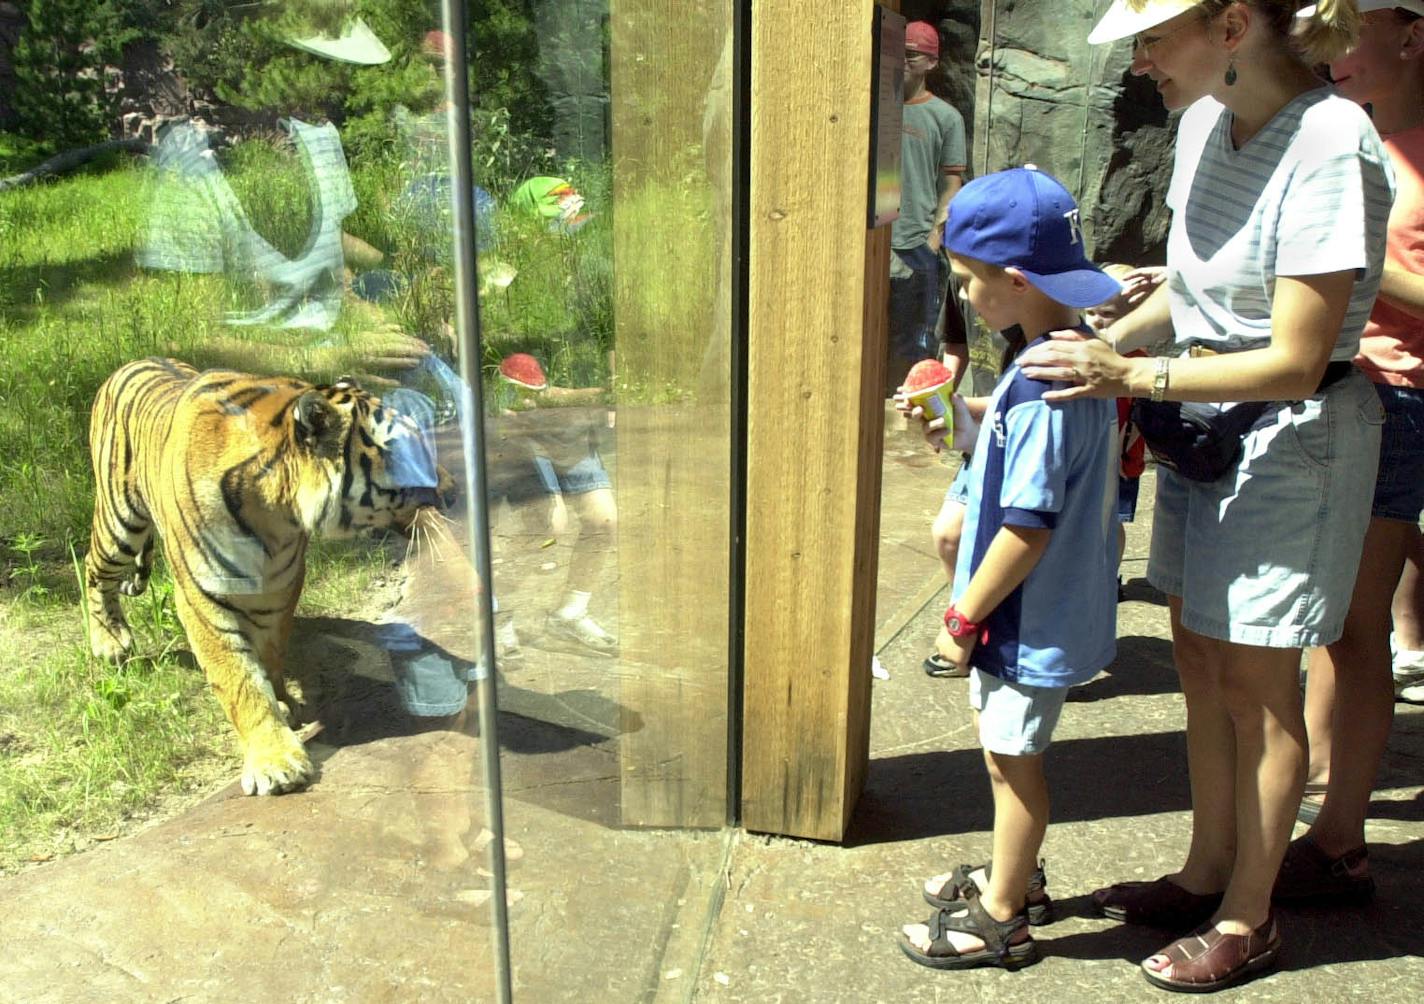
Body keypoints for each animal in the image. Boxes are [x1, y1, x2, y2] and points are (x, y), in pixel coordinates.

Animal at [83, 356, 449, 797]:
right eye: (406, 455)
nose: (451, 491)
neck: (276, 513)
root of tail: (129, 364)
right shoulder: (201, 596)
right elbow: (238, 678)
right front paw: (275, 761)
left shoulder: (280, 584)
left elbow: (270, 652)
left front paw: (283, 703)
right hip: (120, 519)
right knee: (93, 567)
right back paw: (109, 641)